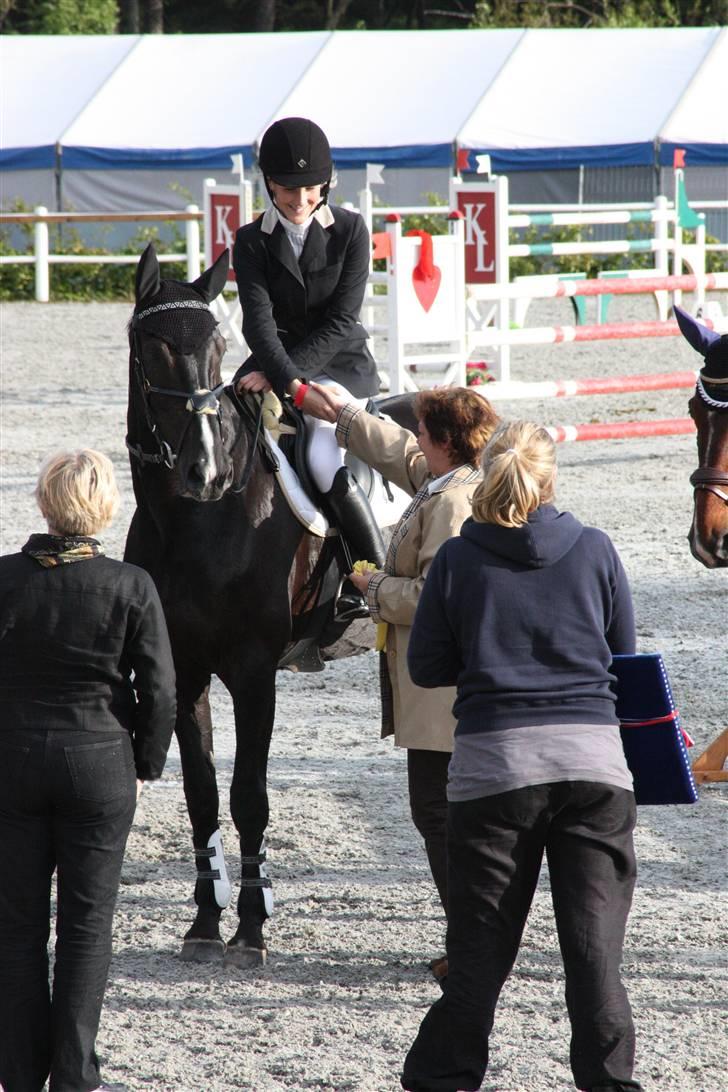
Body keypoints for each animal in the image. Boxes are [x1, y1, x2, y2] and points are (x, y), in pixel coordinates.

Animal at [126, 247, 414, 965]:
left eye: (216, 345)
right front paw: (205, 923)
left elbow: (249, 796)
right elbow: (202, 796)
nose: (200, 472)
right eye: (154, 346)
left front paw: (252, 927)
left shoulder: (255, 674)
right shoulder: (186, 671)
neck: (199, 522)